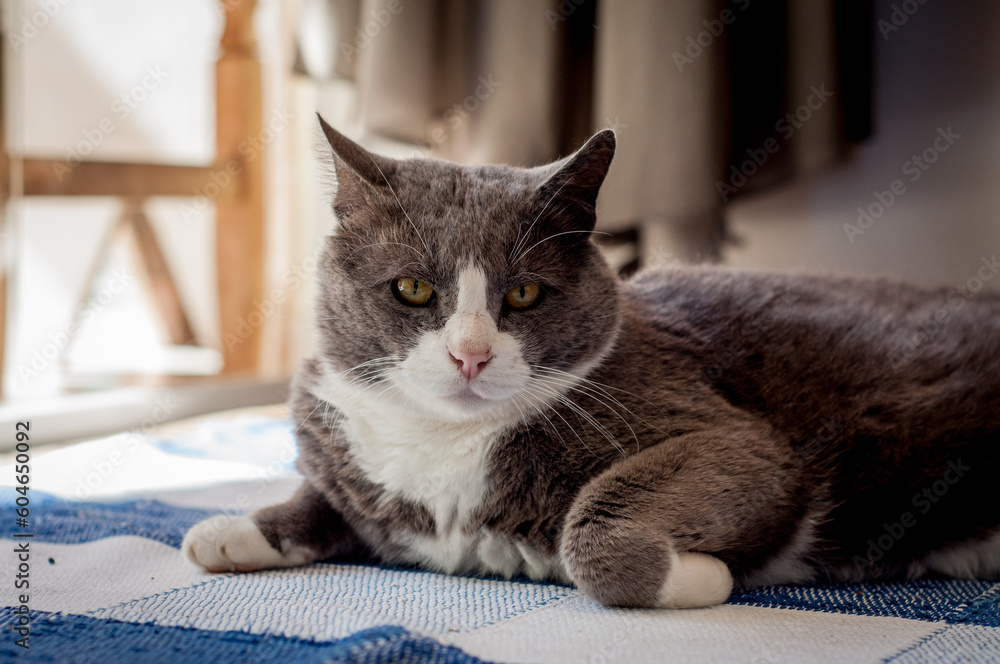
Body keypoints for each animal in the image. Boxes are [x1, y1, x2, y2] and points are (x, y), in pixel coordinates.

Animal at [180, 115, 1000, 608]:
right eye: (413, 289)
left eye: (524, 292)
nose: (470, 354)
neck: (446, 447)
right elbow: (324, 496)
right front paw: (229, 531)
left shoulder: (728, 434)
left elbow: (593, 534)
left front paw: (704, 577)